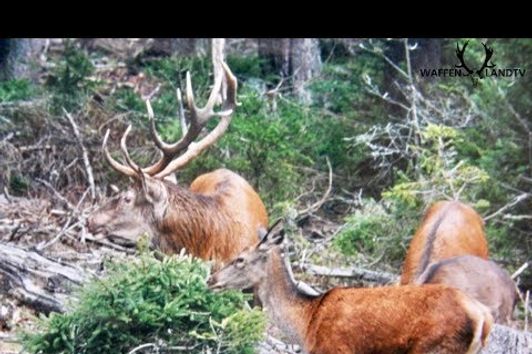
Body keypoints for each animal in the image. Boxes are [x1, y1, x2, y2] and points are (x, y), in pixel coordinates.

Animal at [209, 223, 494, 352]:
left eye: (239, 259)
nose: (211, 279)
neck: (306, 323)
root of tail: (483, 317)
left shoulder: (334, 349)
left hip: (435, 348)